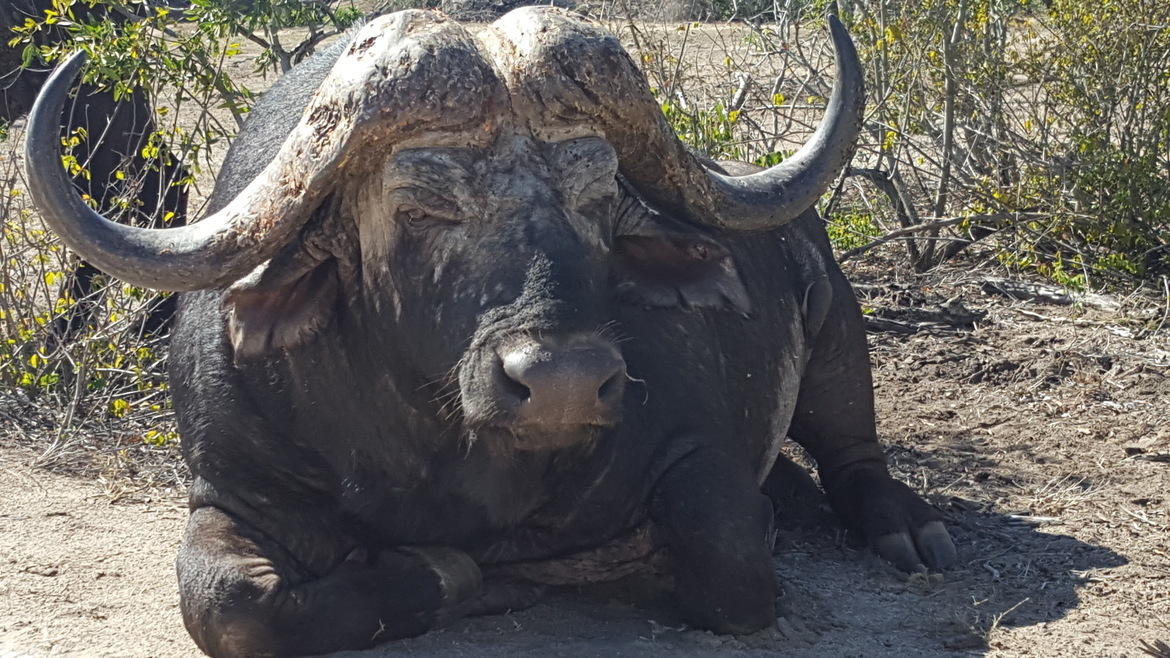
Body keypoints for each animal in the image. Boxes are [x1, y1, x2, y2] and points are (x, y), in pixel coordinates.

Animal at [25, 8, 956, 657]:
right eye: (423, 207)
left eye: (599, 195)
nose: (564, 381)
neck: (453, 452)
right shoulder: (229, 489)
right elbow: (229, 605)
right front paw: (449, 574)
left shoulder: (700, 454)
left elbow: (731, 559)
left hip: (836, 327)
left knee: (854, 450)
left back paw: (906, 528)